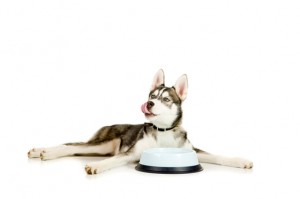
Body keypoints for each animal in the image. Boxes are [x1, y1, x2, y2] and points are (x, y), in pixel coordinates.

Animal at [28, 69, 253, 174]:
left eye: (166, 99)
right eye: (151, 96)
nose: (149, 103)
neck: (164, 133)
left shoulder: (192, 150)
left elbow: (216, 155)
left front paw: (241, 161)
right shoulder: (130, 153)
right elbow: (114, 160)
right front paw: (97, 167)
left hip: (101, 147)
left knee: (75, 147)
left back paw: (40, 151)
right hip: (102, 144)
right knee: (70, 145)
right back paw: (45, 151)